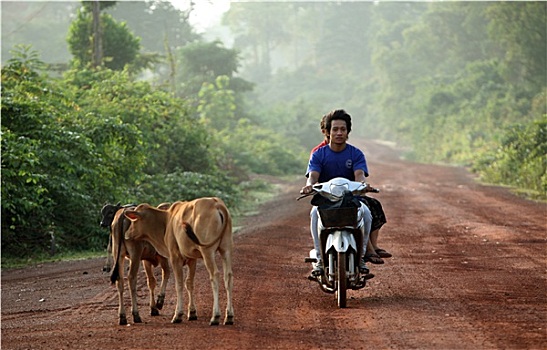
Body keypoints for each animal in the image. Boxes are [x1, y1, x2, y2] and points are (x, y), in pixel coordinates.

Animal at [123, 197, 234, 326]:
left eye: (133, 220)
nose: (126, 235)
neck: (166, 221)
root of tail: (216, 203)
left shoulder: (175, 257)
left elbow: (179, 284)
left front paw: (178, 315)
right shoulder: (192, 259)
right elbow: (189, 283)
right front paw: (192, 313)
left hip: (207, 251)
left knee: (214, 275)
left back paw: (215, 316)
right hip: (226, 249)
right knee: (228, 277)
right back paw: (229, 316)